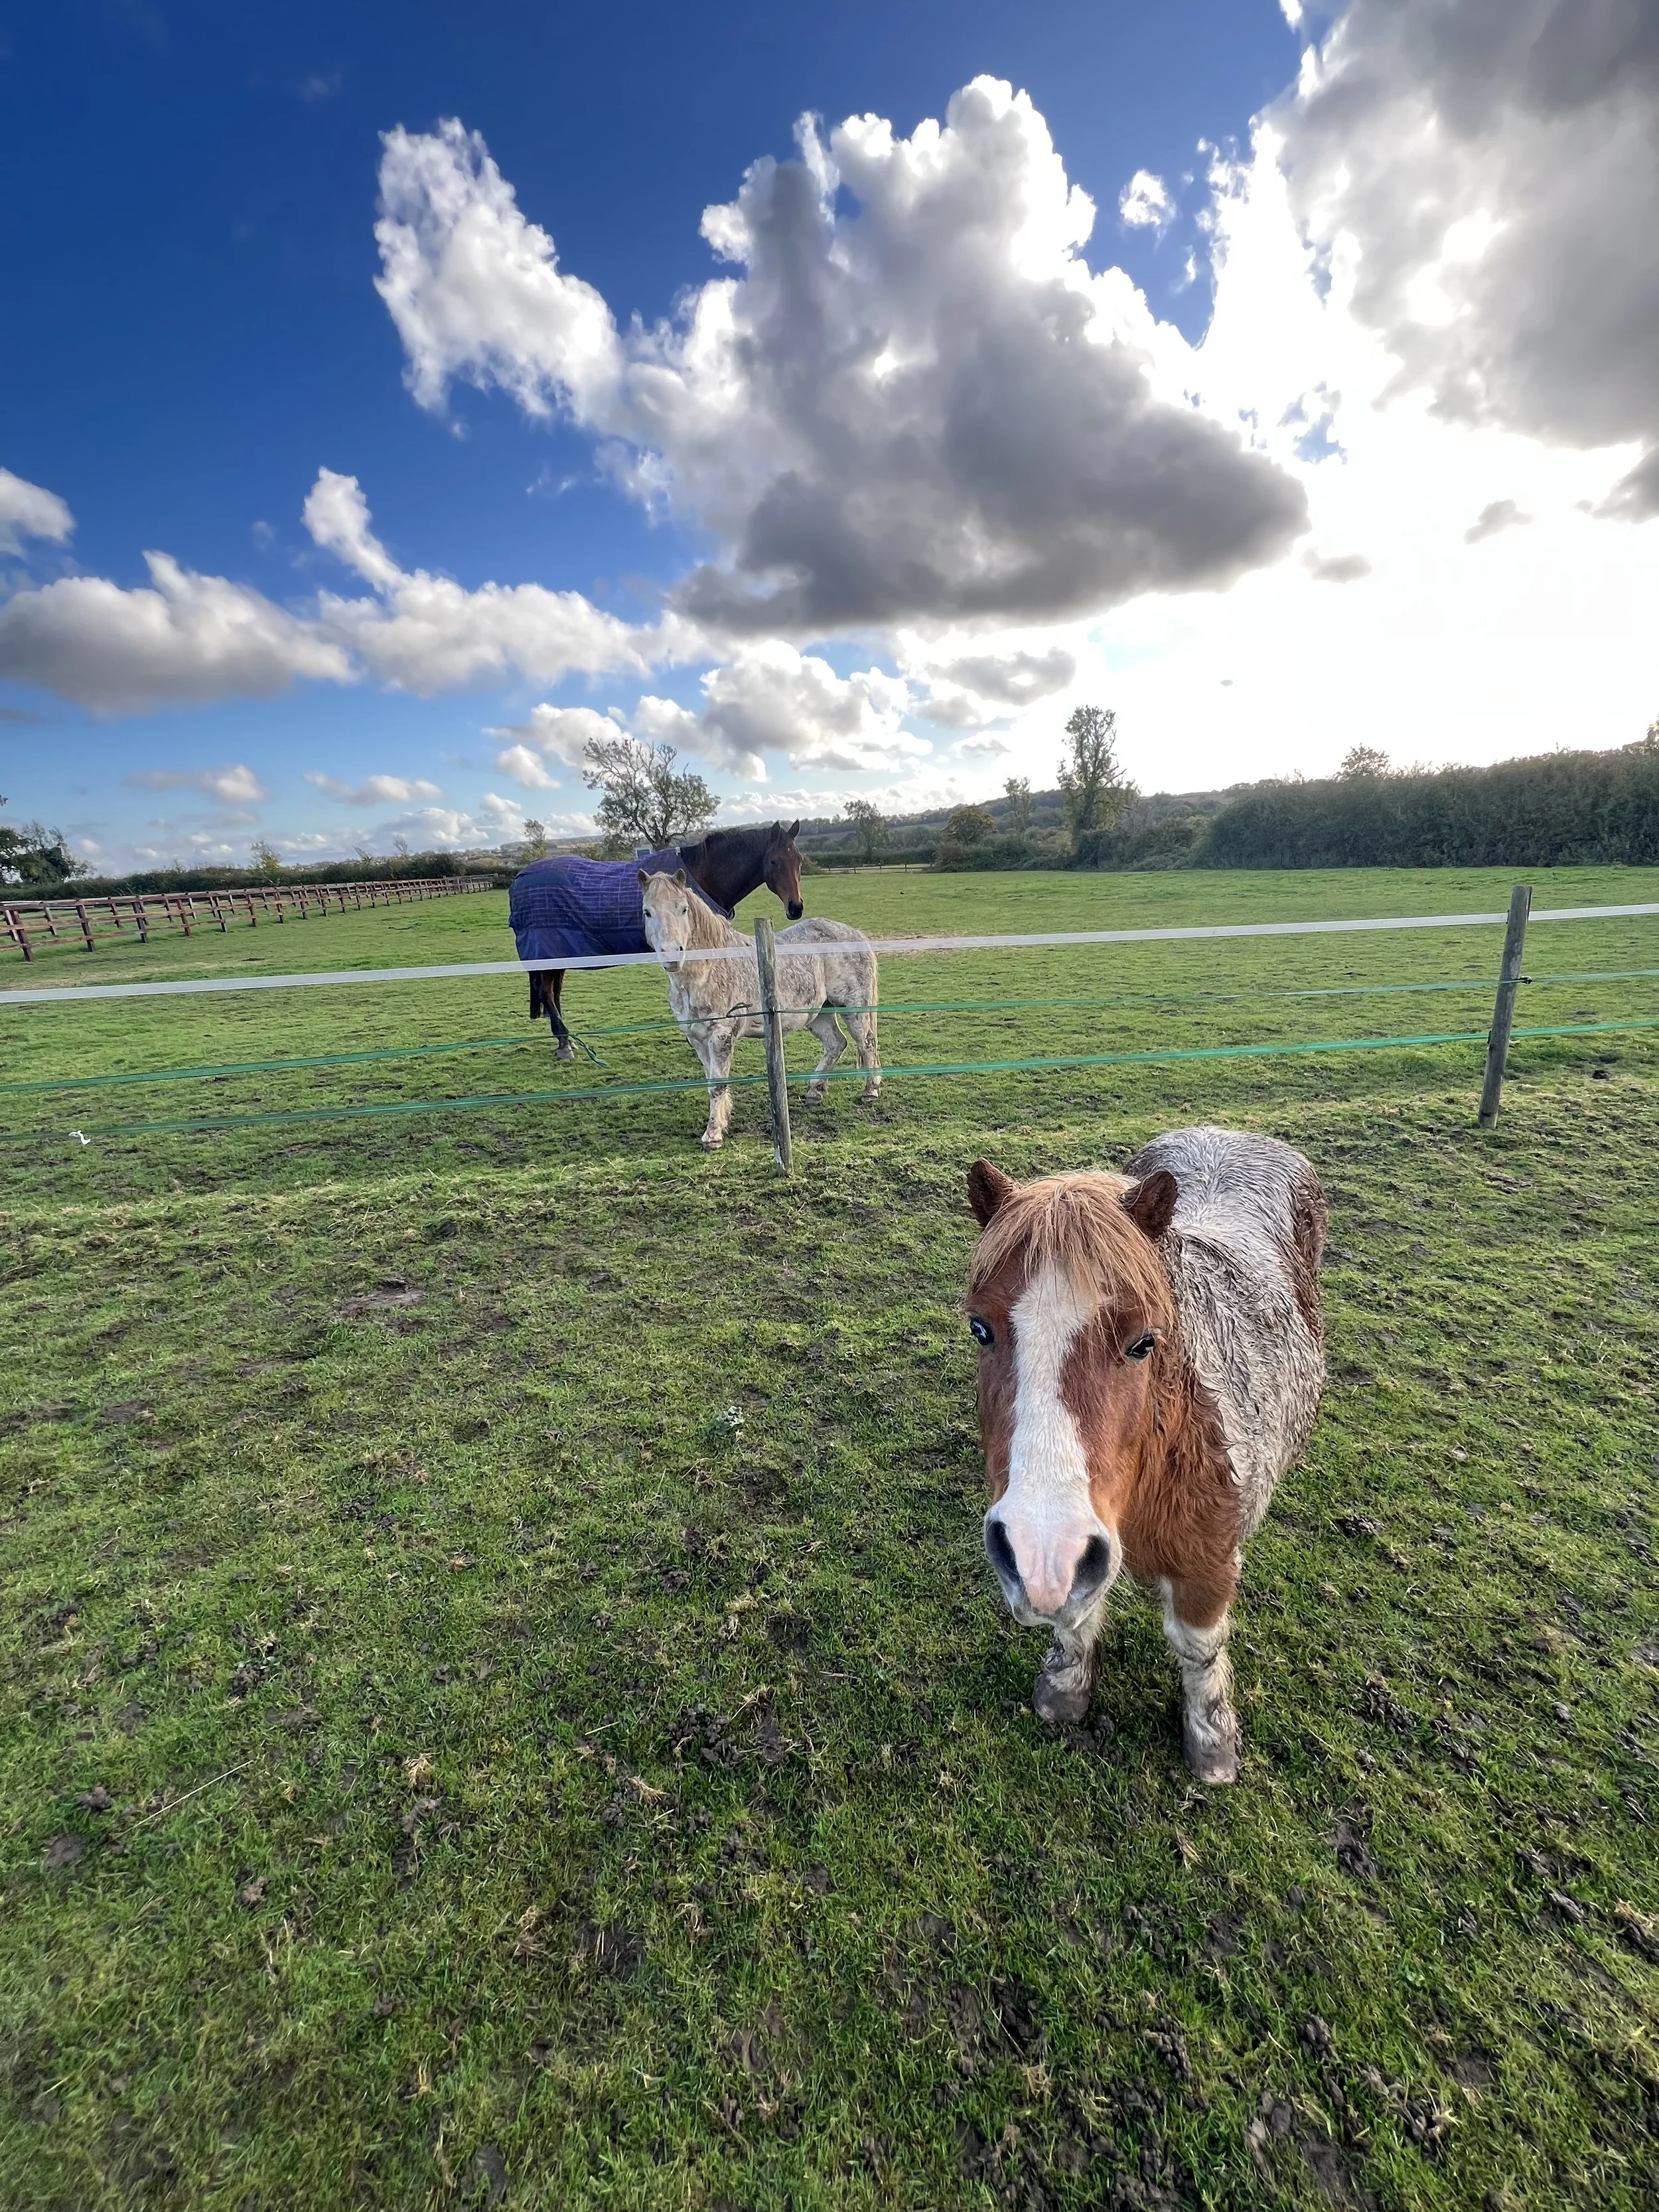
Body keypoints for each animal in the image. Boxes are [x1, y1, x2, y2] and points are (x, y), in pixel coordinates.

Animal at [510, 821, 805, 1061]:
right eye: (774, 861)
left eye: (800, 860)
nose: (796, 907)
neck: (701, 876)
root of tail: (519, 879)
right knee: (547, 992)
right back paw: (564, 1044)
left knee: (554, 992)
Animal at [639, 868, 881, 1148]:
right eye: (647, 912)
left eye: (684, 909)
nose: (672, 955)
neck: (709, 969)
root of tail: (856, 934)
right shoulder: (697, 1038)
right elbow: (712, 1082)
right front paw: (720, 1123)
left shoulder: (721, 1035)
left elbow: (717, 1085)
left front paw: (713, 1135)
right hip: (817, 1014)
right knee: (836, 1044)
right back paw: (814, 1092)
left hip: (854, 1008)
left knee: (867, 1043)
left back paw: (871, 1091)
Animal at [963, 1127, 1326, 1783]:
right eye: (981, 1328)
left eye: (1143, 1342)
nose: (1041, 1553)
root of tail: (1230, 1133)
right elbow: (1079, 1617)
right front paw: (1065, 1688)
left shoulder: (1209, 1564)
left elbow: (1198, 1645)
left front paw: (1211, 1742)